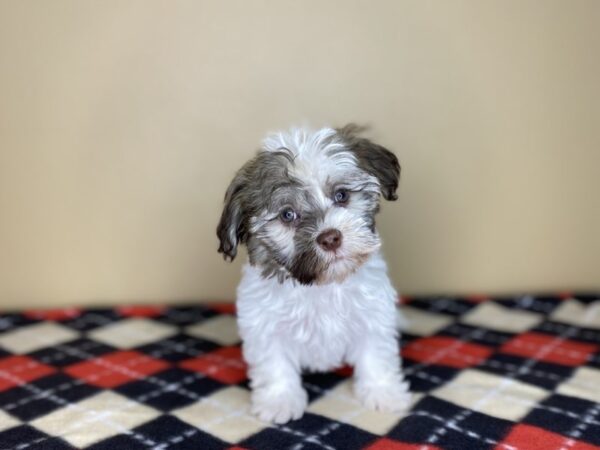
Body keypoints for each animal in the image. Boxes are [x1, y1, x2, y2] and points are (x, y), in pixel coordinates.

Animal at [218, 125, 410, 424]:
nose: (330, 238)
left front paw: (383, 393)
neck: (321, 284)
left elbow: (376, 354)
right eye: (288, 215)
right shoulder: (264, 324)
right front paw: (280, 400)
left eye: (341, 196)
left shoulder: (372, 314)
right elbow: (274, 363)